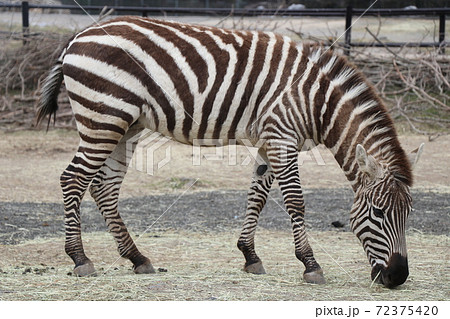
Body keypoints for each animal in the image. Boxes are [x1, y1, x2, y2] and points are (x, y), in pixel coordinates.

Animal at [37, 16, 424, 288]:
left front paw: (250, 256)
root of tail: (79, 35)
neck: (317, 101)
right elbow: (295, 202)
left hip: (125, 125)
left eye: (408, 214)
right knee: (73, 179)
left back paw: (136, 258)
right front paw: (310, 264)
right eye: (378, 213)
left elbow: (258, 195)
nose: (398, 278)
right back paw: (80, 259)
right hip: (103, 118)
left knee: (103, 187)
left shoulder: (270, 141)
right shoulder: (282, 137)